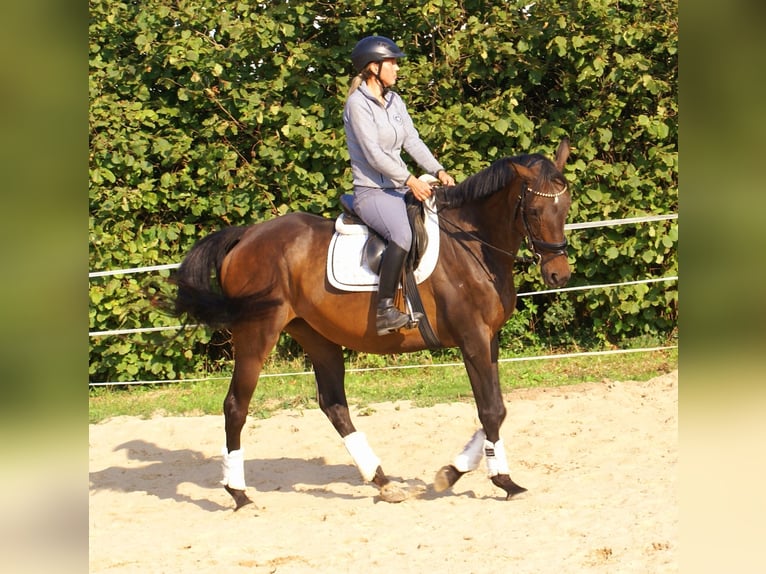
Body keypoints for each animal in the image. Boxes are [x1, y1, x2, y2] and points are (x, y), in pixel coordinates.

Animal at [172, 141, 568, 512]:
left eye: (565, 208)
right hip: (256, 332)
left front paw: (473, 474)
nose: (558, 276)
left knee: (334, 406)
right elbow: (491, 410)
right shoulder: (472, 338)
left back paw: (384, 482)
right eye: (534, 211)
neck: (471, 244)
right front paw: (487, 478)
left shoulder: (490, 339)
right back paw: (238, 493)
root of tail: (247, 236)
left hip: (315, 335)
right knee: (236, 406)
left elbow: (497, 409)